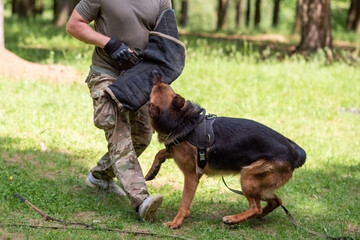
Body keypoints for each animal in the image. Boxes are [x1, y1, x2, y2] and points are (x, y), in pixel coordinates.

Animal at [146, 70, 306, 229]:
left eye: (157, 87)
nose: (155, 71)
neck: (181, 121)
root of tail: (294, 153)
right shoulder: (175, 150)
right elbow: (160, 153)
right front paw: (151, 172)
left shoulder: (192, 176)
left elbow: (184, 202)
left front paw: (177, 222)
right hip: (259, 185)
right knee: (275, 201)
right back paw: (253, 217)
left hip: (247, 177)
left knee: (256, 207)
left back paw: (233, 219)